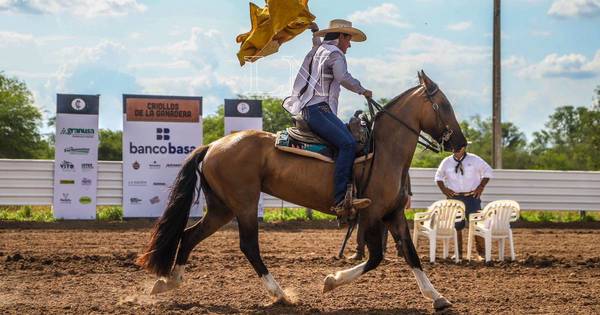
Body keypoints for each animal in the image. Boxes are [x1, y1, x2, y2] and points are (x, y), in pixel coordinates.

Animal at [137, 71, 468, 312]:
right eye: (445, 106)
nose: (461, 143)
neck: (385, 151)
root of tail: (213, 145)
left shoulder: (394, 214)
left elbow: (411, 254)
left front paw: (438, 297)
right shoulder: (373, 214)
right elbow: (375, 257)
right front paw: (330, 281)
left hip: (221, 208)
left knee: (189, 236)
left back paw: (168, 283)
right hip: (243, 204)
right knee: (249, 247)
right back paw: (281, 295)